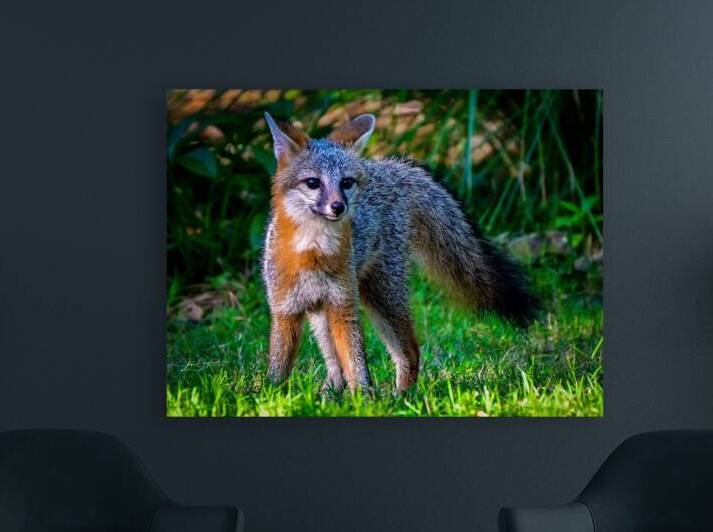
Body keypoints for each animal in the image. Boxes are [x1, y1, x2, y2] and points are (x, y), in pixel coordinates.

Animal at [261, 111, 538, 393]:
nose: (338, 207)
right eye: (313, 183)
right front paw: (270, 393)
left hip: (381, 297)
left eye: (346, 183)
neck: (313, 252)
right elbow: (279, 367)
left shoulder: (344, 308)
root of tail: (386, 167)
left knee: (410, 351)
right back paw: (331, 392)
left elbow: (357, 363)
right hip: (328, 314)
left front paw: (364, 397)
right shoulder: (285, 312)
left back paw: (401, 396)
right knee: (335, 365)